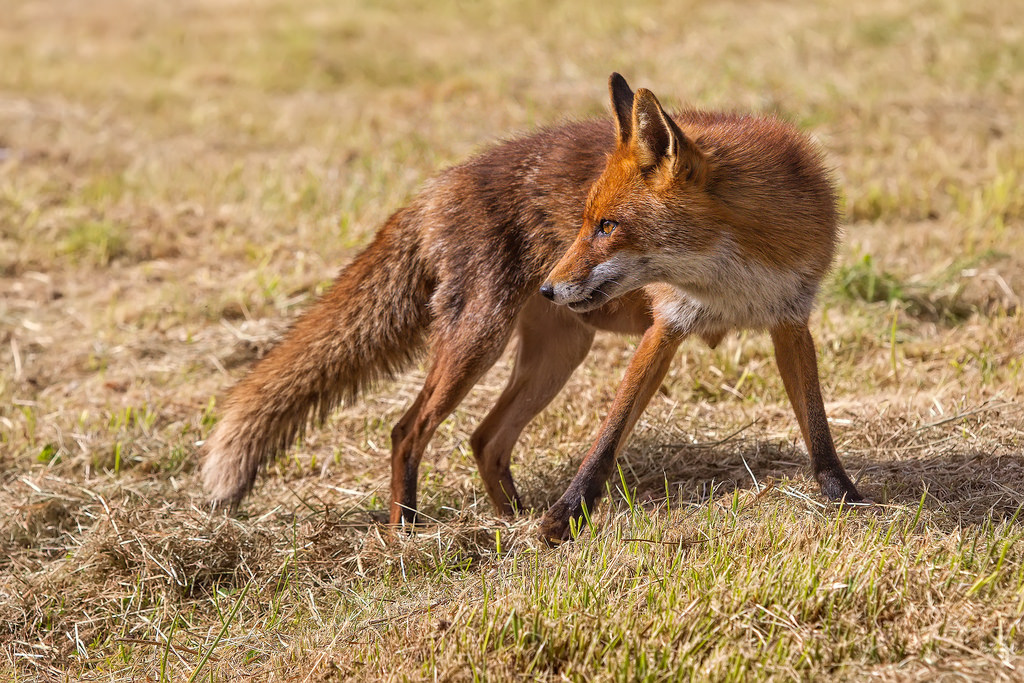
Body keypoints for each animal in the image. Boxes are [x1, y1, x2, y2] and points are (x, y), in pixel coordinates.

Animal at [200, 73, 863, 543]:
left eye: (608, 226)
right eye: (588, 222)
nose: (548, 287)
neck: (731, 276)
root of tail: (434, 187)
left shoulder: (789, 318)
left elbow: (817, 426)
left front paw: (845, 498)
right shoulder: (666, 328)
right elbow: (606, 441)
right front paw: (563, 521)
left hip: (557, 355)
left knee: (484, 440)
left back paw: (510, 520)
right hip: (479, 341)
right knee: (407, 430)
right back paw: (406, 535)